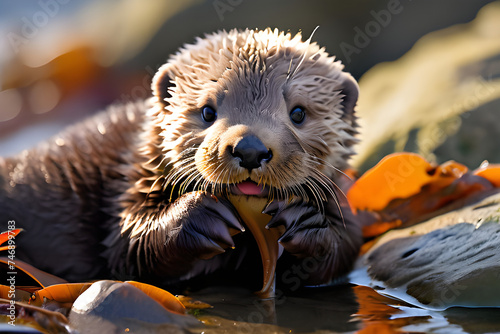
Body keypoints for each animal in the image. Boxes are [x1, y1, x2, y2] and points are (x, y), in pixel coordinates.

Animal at [0, 27, 364, 290]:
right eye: (207, 111)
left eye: (299, 113)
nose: (249, 148)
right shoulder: (129, 184)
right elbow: (128, 245)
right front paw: (196, 216)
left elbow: (346, 247)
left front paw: (307, 221)